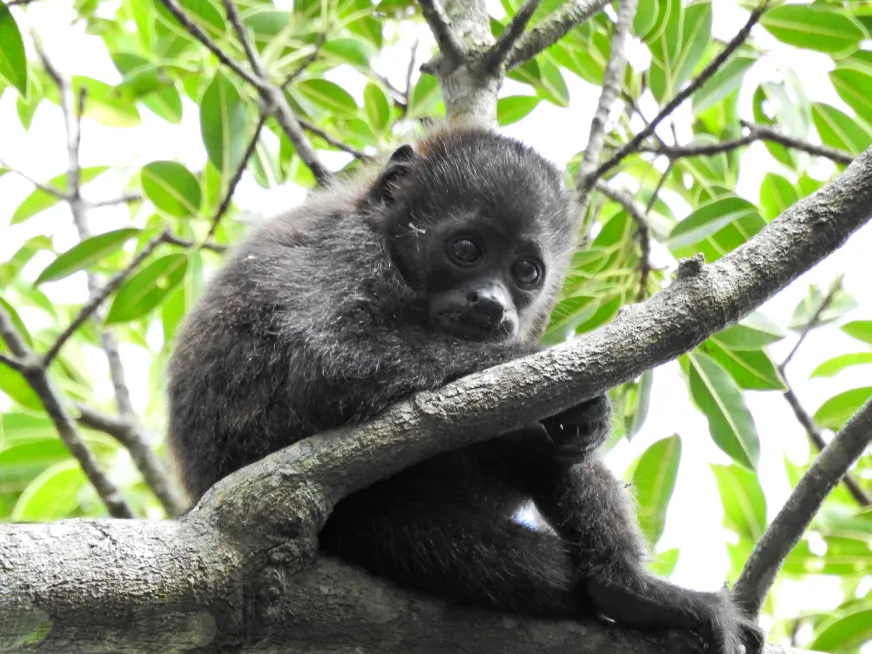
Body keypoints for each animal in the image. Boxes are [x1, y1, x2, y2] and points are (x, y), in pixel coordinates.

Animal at [167, 126, 763, 654]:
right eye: (467, 249)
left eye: (526, 271)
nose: (491, 303)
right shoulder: (343, 249)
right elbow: (330, 362)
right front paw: (564, 384)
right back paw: (626, 587)